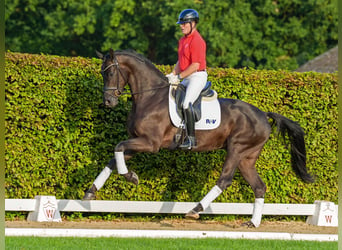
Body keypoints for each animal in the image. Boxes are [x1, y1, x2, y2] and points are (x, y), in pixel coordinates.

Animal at [83, 47, 312, 228]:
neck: (150, 97)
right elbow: (115, 157)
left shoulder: (150, 143)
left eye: (111, 72)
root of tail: (263, 115)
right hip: (247, 157)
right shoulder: (138, 141)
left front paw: (131, 177)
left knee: (225, 179)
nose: (108, 102)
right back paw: (253, 223)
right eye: (102, 73)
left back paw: (195, 209)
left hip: (237, 148)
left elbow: (118, 147)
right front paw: (90, 192)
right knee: (259, 186)